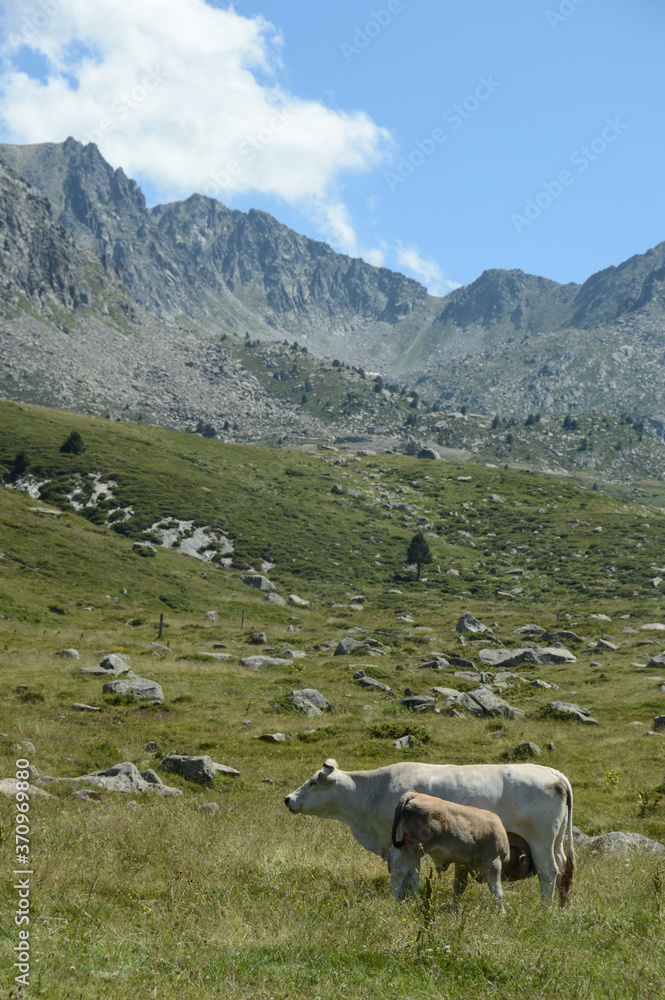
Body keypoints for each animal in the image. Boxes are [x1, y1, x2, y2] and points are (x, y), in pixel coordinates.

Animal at [284, 759, 574, 906]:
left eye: (312, 782)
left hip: (540, 842)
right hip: (556, 842)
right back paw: (563, 906)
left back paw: (545, 908)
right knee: (563, 869)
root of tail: (553, 772)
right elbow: (412, 876)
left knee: (549, 872)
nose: (288, 799)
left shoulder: (399, 844)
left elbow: (406, 873)